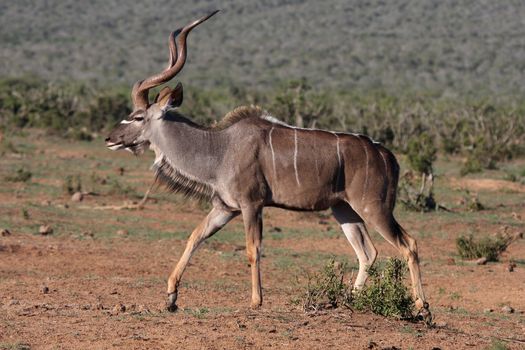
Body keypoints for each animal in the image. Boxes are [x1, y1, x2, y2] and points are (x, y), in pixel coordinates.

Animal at [103, 10, 430, 322]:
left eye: (137, 117)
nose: (109, 139)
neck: (219, 148)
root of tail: (386, 155)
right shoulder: (225, 208)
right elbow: (195, 237)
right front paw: (171, 297)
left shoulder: (252, 204)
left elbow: (253, 249)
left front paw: (256, 301)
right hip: (344, 210)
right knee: (368, 252)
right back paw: (351, 300)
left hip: (374, 208)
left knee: (409, 244)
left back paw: (422, 307)